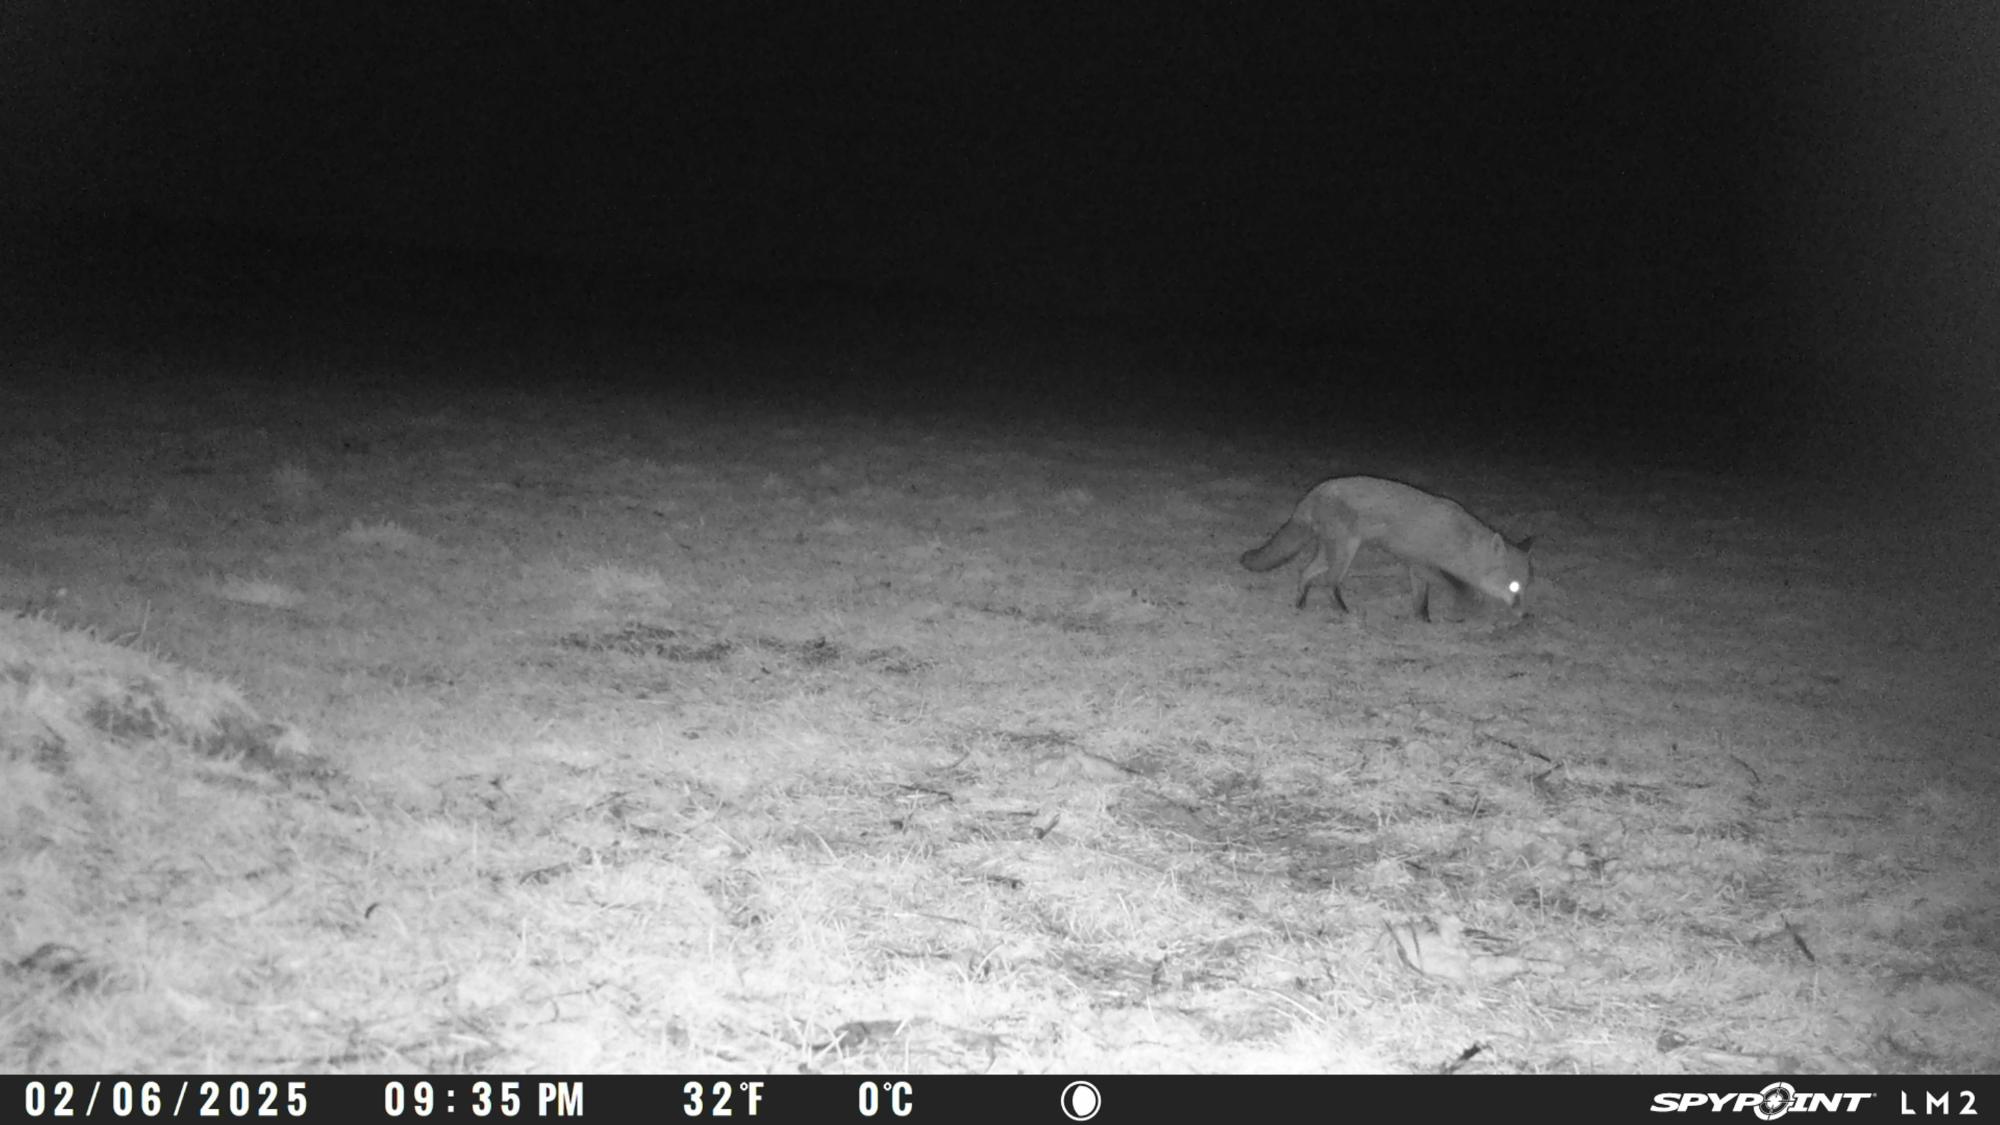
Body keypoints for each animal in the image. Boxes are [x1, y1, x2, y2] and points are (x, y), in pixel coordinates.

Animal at [1241, 476, 1533, 622]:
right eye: (1513, 587)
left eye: (1525, 587)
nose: (1525, 615)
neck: (1456, 541)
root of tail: (1314, 492)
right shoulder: (1424, 564)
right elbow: (1459, 588)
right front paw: (1468, 605)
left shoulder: (1416, 567)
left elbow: (1421, 600)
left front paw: (1423, 621)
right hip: (1345, 551)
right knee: (1330, 582)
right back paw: (1343, 610)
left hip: (1330, 552)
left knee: (1305, 573)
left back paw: (1300, 603)